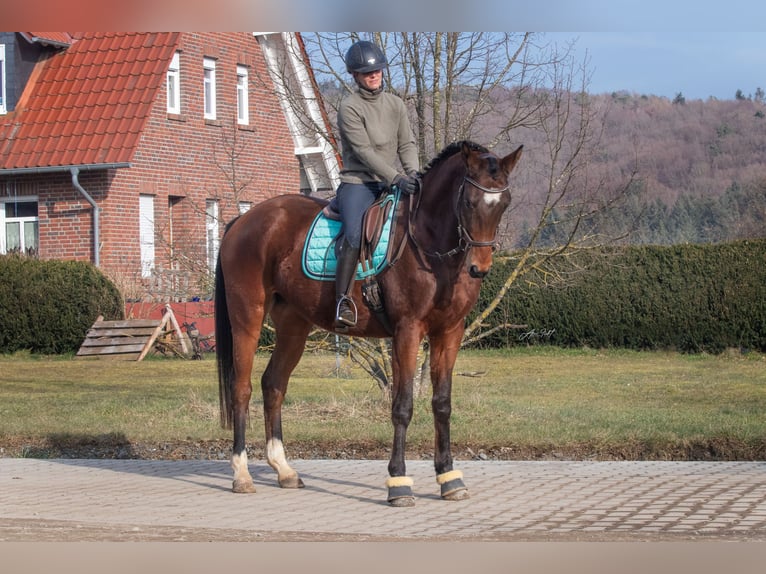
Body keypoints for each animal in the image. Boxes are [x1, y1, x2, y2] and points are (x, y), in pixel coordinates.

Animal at [218, 141, 528, 508]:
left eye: (504, 203)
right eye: (468, 201)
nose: (480, 268)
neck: (427, 241)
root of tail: (244, 218)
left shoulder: (449, 332)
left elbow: (442, 404)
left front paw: (449, 477)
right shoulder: (407, 332)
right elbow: (403, 405)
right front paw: (399, 482)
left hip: (294, 325)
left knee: (274, 384)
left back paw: (284, 470)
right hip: (247, 317)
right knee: (242, 388)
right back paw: (241, 474)